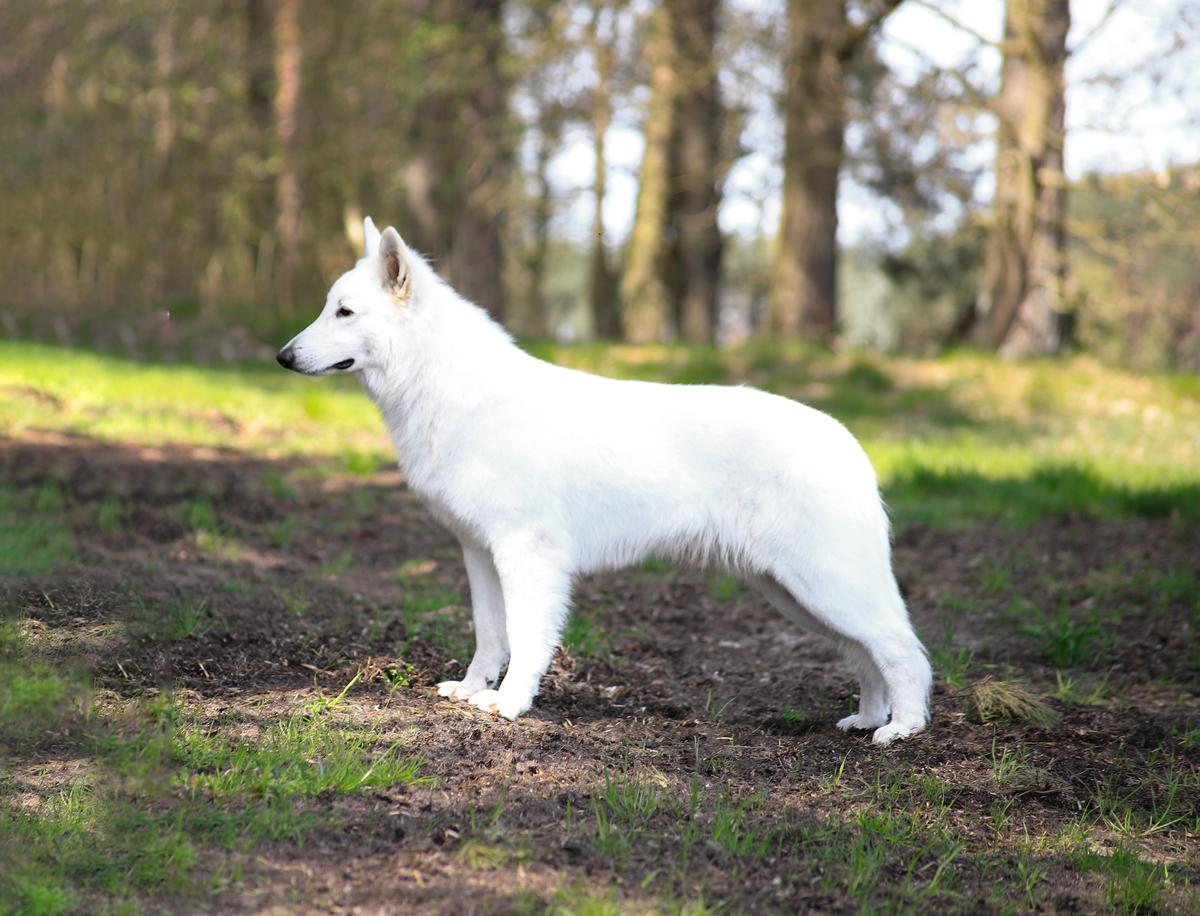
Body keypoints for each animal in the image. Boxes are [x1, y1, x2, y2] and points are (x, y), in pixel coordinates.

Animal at [276, 220, 931, 744]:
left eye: (344, 312)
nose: (282, 358)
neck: (452, 389)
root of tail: (847, 442)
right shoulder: (479, 555)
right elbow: (490, 632)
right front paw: (473, 688)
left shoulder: (527, 556)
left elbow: (526, 636)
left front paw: (509, 703)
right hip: (795, 593)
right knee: (866, 655)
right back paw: (869, 717)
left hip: (824, 585)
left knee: (902, 650)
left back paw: (902, 727)